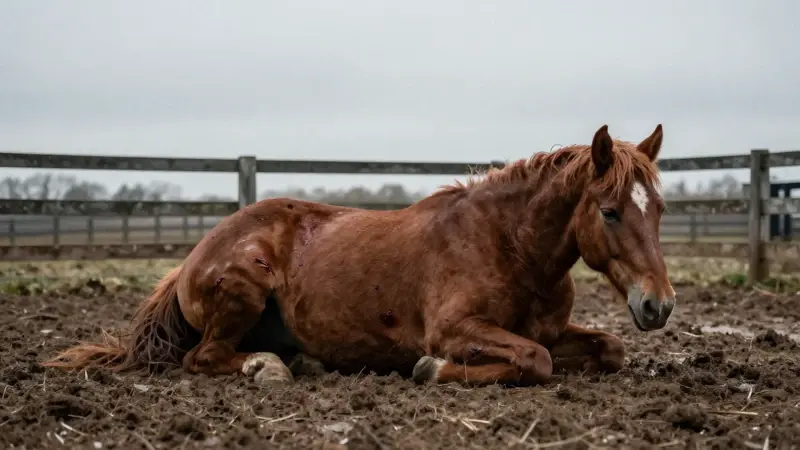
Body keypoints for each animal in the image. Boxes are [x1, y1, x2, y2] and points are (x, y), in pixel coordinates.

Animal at [44, 124, 676, 387]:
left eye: (661, 209)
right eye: (610, 211)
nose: (659, 305)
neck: (509, 247)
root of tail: (192, 259)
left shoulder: (554, 327)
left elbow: (609, 349)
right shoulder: (454, 329)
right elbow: (534, 360)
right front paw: (432, 369)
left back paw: (301, 362)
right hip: (243, 288)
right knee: (202, 358)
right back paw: (267, 368)